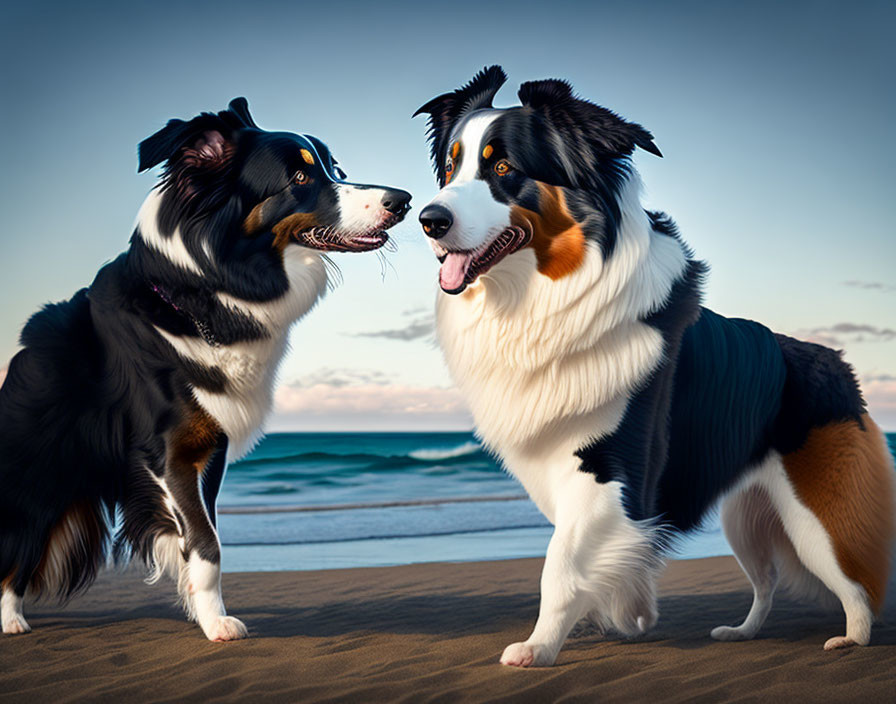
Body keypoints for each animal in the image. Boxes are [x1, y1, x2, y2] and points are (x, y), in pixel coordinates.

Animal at [0, 96, 412, 640]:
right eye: (300, 177)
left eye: (334, 169)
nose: (404, 200)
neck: (202, 292)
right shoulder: (168, 454)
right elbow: (206, 543)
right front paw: (217, 625)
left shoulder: (210, 450)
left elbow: (205, 540)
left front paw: (206, 612)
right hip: (42, 472)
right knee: (18, 544)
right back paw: (11, 619)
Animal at [416, 69, 892, 668]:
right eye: (451, 167)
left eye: (504, 169)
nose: (428, 220)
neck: (543, 297)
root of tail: (836, 362)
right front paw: (630, 616)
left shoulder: (609, 470)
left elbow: (560, 565)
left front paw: (539, 648)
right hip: (745, 518)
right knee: (766, 581)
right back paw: (742, 632)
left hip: (813, 516)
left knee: (853, 580)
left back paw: (853, 638)